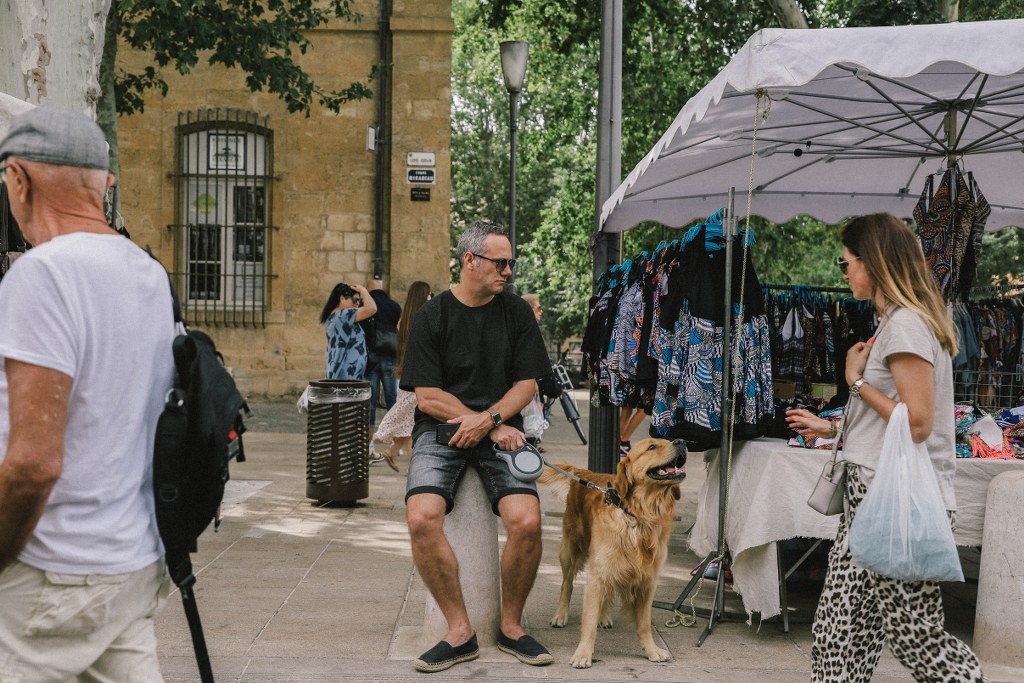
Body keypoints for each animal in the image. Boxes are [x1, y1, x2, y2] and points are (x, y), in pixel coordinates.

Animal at [536, 438, 688, 667]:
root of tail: (585, 472)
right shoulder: (596, 575)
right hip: (570, 549)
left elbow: (644, 624)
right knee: (566, 584)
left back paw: (603, 617)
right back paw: (560, 615)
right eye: (652, 447)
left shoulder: (647, 581)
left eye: (669, 440)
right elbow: (588, 623)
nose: (681, 441)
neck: (638, 517)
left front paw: (651, 650)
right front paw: (583, 654)